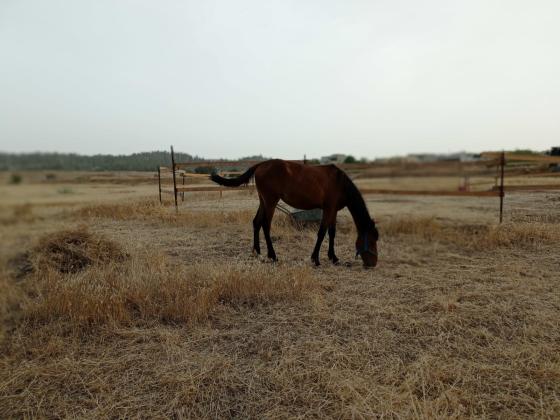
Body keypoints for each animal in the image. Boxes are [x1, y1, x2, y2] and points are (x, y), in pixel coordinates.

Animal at [211, 159, 380, 268]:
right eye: (372, 241)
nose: (373, 264)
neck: (339, 182)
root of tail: (261, 165)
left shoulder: (333, 210)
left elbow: (332, 233)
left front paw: (334, 258)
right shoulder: (328, 209)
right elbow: (322, 233)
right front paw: (315, 259)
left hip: (263, 201)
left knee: (256, 222)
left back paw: (257, 252)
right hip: (271, 201)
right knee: (266, 225)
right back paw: (273, 255)